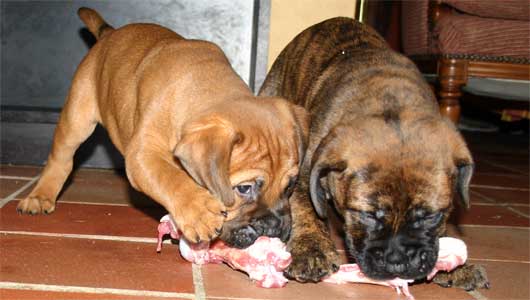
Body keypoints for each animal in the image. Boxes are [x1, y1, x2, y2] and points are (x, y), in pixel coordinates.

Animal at [258, 17, 486, 290]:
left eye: (432, 216)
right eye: (367, 215)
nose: (398, 262)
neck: (391, 104)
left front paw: (457, 268)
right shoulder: (304, 171)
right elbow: (306, 208)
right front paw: (312, 249)